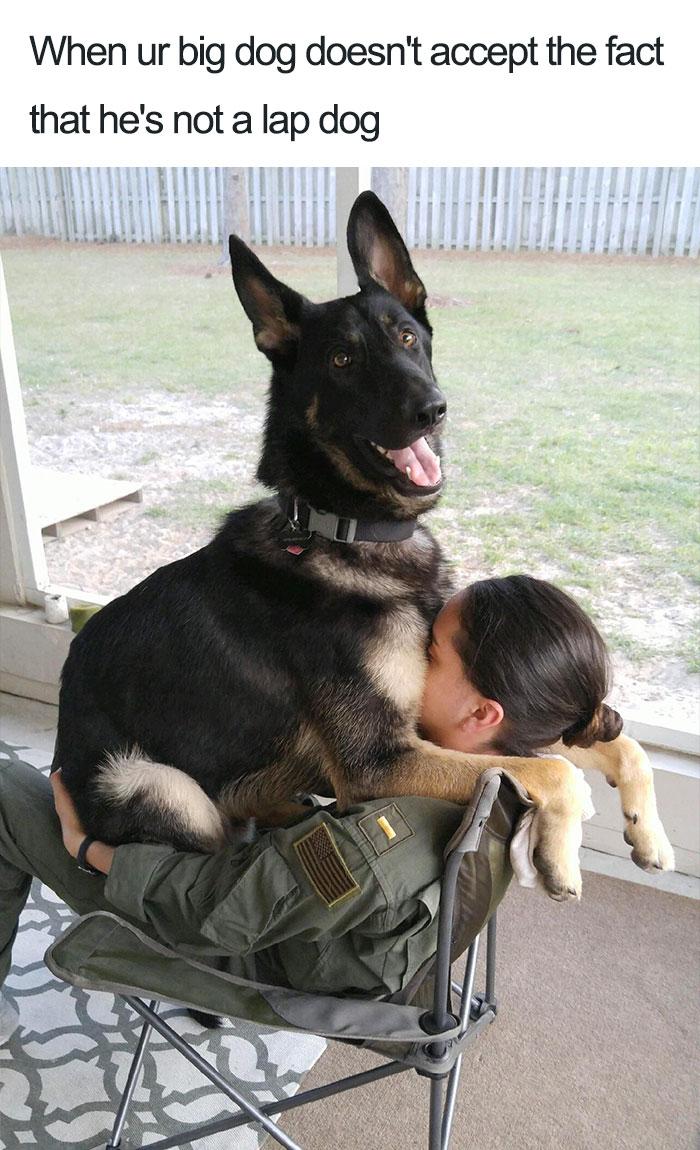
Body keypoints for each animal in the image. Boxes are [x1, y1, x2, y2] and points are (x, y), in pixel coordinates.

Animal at [54, 191, 674, 900]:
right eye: (342, 361)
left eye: (407, 338)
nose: (432, 409)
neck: (346, 531)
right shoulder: (379, 761)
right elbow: (553, 771)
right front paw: (563, 852)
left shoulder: (432, 729)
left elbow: (617, 746)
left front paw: (648, 832)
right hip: (161, 786)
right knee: (205, 851)